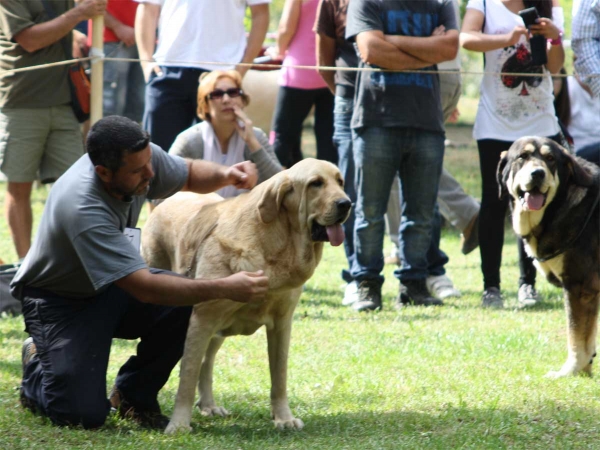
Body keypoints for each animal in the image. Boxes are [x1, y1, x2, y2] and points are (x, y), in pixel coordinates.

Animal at [142, 157, 352, 432]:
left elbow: (279, 377)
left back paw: (209, 405)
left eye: (340, 182)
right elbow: (186, 376)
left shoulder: (282, 324)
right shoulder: (202, 319)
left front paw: (283, 418)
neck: (276, 243)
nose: (346, 203)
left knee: (207, 362)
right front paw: (178, 424)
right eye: (315, 183)